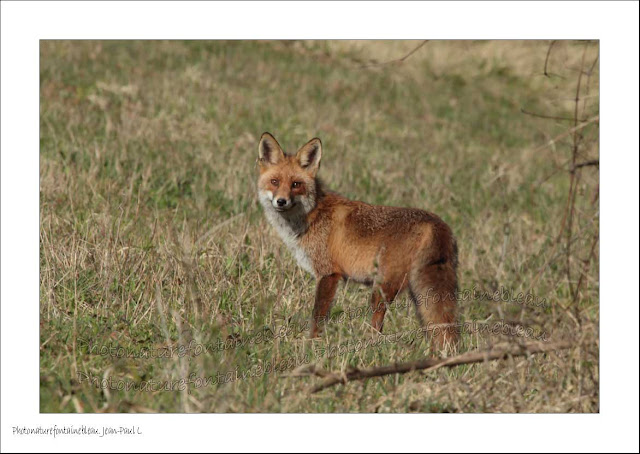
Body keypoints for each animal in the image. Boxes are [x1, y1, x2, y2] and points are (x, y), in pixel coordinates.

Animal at [258, 131, 458, 352]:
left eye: (295, 184)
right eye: (275, 181)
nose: (281, 201)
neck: (313, 215)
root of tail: (437, 223)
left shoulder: (328, 274)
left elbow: (317, 317)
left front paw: (311, 346)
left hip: (382, 288)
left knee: (378, 325)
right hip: (419, 292)